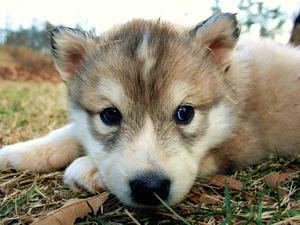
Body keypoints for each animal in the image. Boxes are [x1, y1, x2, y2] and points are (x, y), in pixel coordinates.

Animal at [0, 13, 300, 207]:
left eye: (185, 113)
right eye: (110, 115)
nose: (150, 187)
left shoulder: (245, 141)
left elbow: (208, 156)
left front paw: (91, 168)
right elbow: (70, 131)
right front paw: (20, 151)